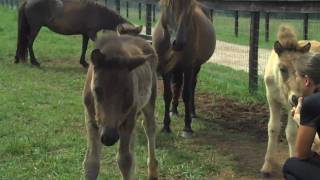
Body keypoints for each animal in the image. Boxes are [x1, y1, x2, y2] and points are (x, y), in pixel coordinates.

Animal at [14, 0, 142, 68]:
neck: (99, 12)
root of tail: (27, 2)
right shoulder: (91, 33)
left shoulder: (85, 34)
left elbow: (84, 47)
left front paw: (84, 63)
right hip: (36, 27)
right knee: (29, 42)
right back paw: (34, 62)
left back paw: (17, 59)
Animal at [82, 33, 158, 179]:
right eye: (97, 89)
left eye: (127, 90)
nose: (109, 137)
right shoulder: (90, 119)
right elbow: (91, 163)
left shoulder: (128, 119)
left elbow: (125, 161)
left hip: (149, 102)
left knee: (149, 127)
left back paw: (153, 172)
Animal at [152, 0, 215, 137]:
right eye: (168, 6)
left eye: (189, 8)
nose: (179, 43)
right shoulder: (165, 68)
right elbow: (167, 95)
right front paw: (166, 126)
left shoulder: (188, 67)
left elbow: (186, 94)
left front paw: (187, 128)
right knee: (177, 84)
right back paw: (174, 110)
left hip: (196, 67)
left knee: (192, 86)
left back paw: (192, 112)